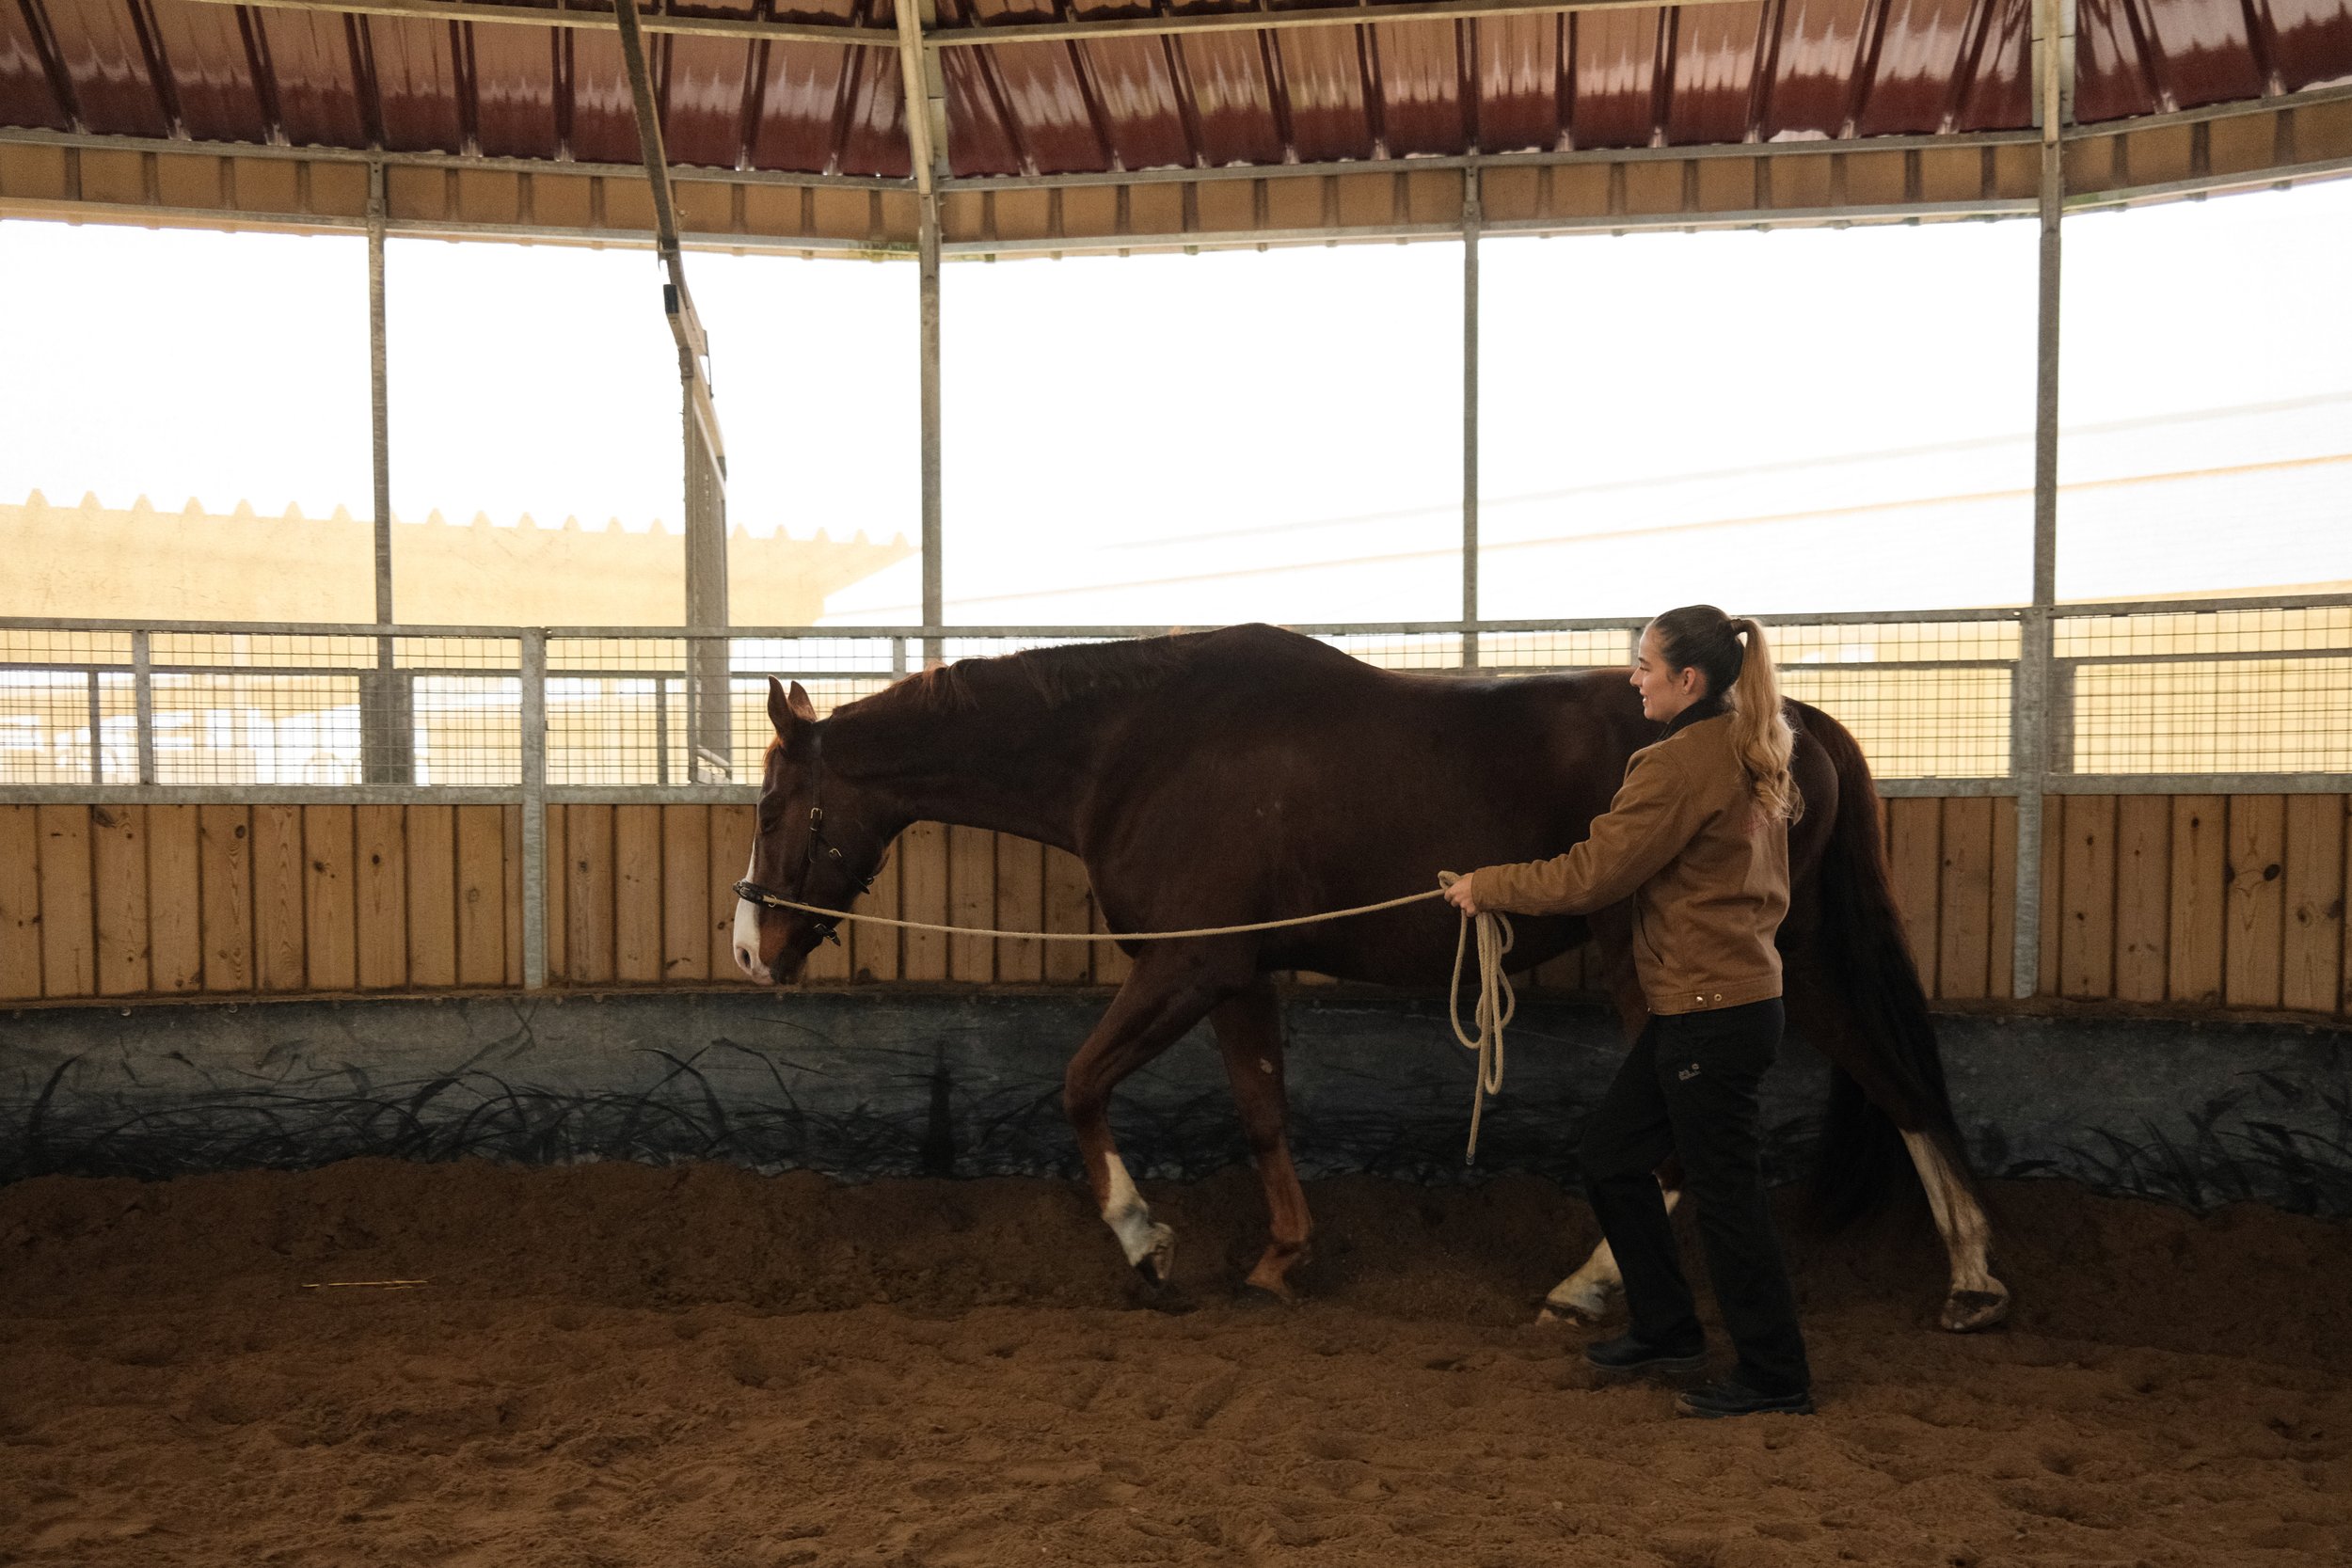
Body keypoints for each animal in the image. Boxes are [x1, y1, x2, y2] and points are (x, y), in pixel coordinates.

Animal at [731, 624, 2010, 1333]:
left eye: (774, 806)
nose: (749, 946)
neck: (1132, 750)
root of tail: (1785, 724)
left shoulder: (1186, 965)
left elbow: (1081, 1085)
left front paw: (1145, 1240)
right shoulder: (1236, 973)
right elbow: (1262, 1113)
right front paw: (1279, 1257)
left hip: (1687, 964)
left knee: (1705, 1133)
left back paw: (1586, 1288)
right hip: (1793, 960)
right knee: (1899, 1086)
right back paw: (1969, 1279)